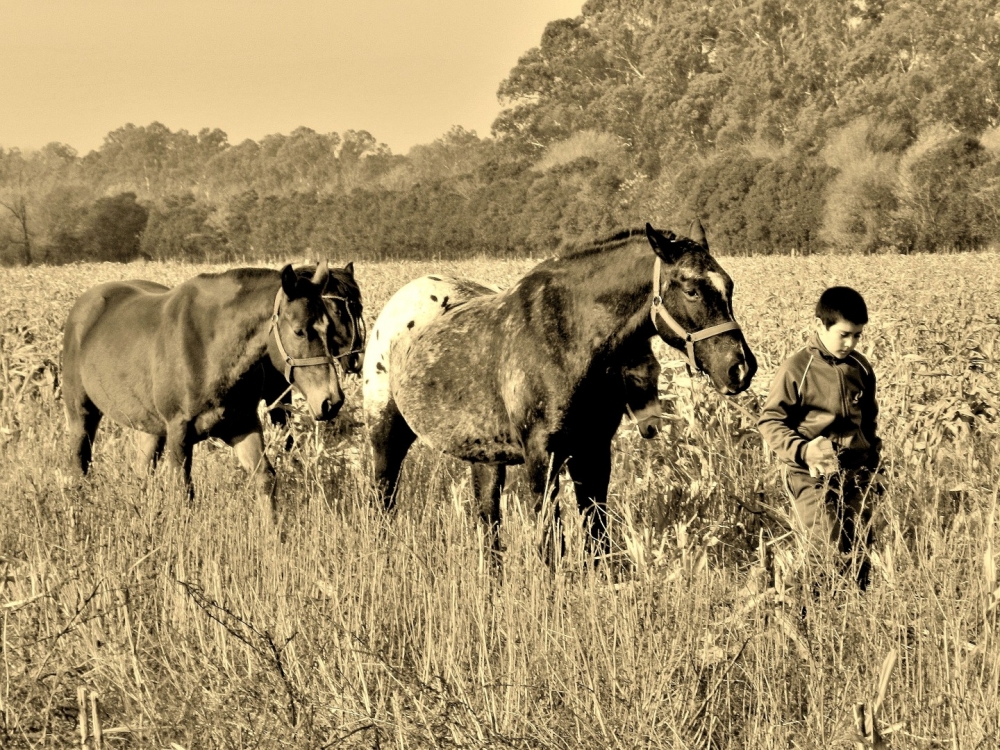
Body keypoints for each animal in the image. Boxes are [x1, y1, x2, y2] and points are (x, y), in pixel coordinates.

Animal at [63, 262, 344, 502]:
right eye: (299, 331)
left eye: (329, 328)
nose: (331, 401)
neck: (211, 348)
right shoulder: (179, 431)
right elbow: (183, 492)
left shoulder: (243, 425)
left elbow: (265, 479)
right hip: (82, 414)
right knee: (79, 464)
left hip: (151, 429)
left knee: (141, 473)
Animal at [364, 223, 752, 560]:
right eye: (691, 290)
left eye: (730, 286)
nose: (740, 367)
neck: (567, 337)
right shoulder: (542, 457)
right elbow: (552, 543)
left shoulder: (593, 452)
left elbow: (596, 535)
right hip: (387, 434)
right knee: (384, 498)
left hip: (486, 457)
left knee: (489, 524)